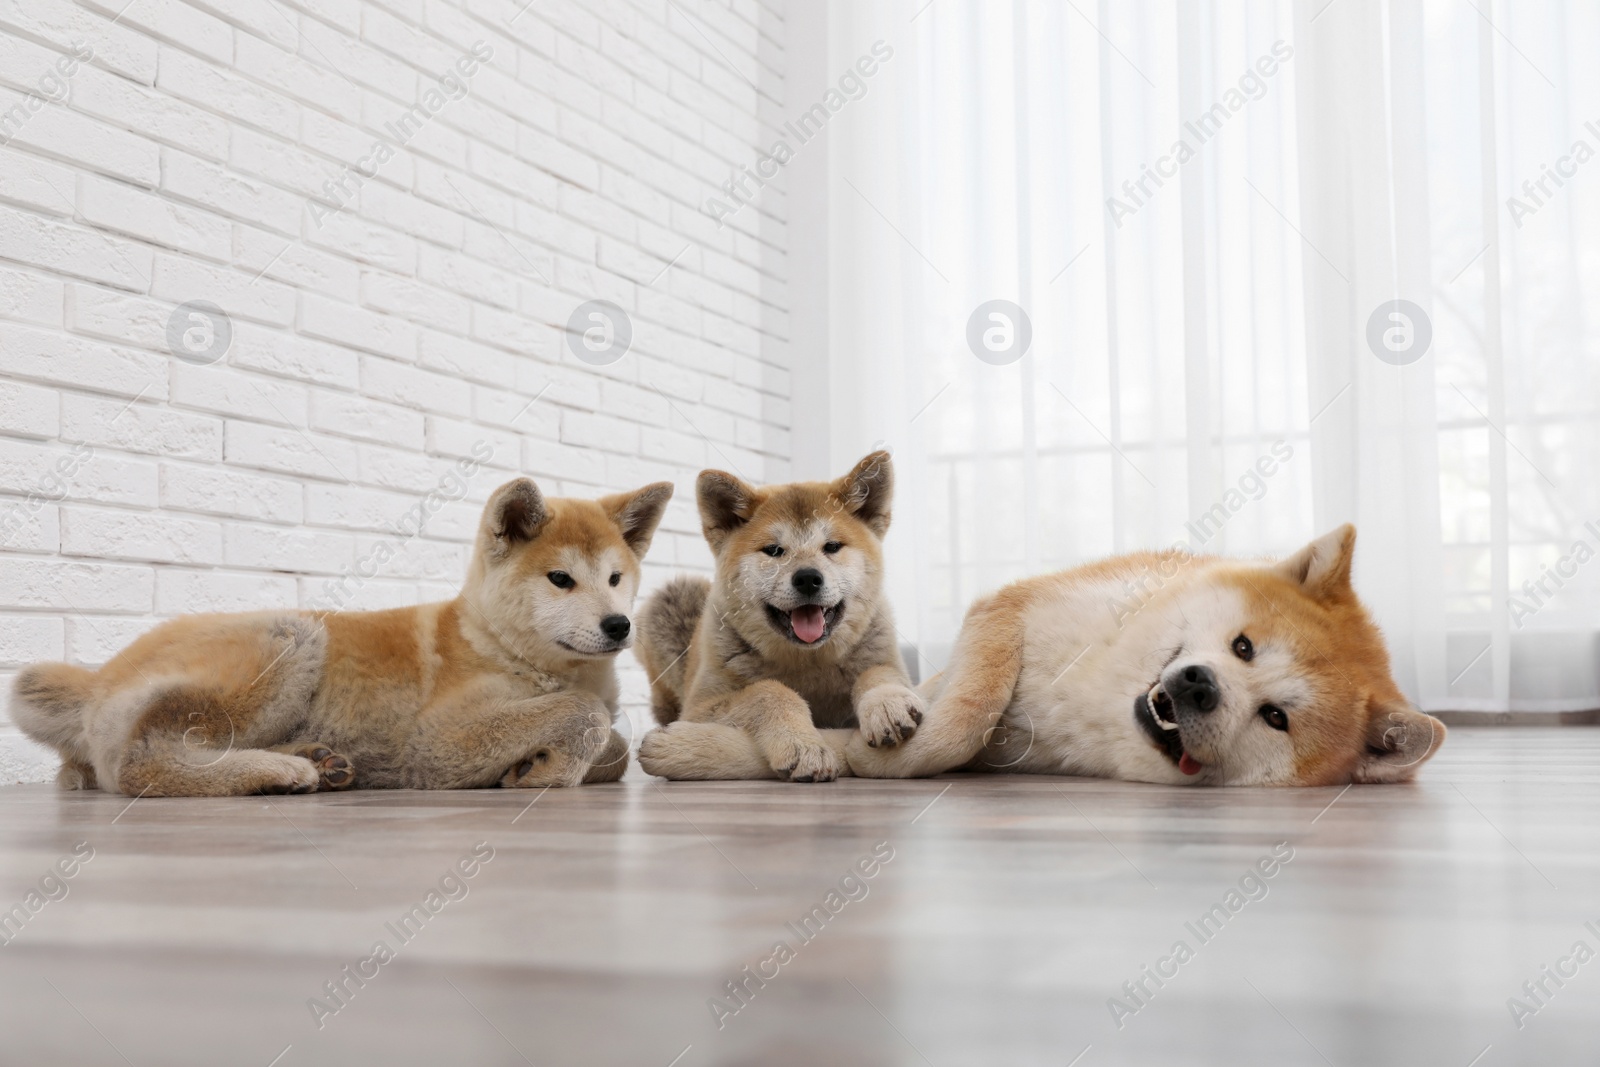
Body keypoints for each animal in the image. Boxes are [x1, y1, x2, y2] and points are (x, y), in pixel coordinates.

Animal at [7, 479, 668, 796]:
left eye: (616, 579)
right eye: (561, 580)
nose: (619, 625)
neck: (497, 644)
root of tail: (100, 677)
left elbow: (616, 743)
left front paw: (539, 762)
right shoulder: (435, 739)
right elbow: (587, 715)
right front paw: (544, 771)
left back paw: (316, 761)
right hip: (292, 636)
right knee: (137, 763)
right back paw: (277, 772)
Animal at [630, 451, 921, 783]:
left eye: (832, 546)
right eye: (773, 550)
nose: (808, 578)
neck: (808, 662)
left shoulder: (885, 663)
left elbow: (878, 673)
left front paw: (887, 703)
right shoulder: (700, 709)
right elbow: (767, 691)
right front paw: (803, 745)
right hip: (673, 601)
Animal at [636, 524, 1452, 783]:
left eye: (1276, 717)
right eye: (1243, 645)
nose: (1197, 684)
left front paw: (852, 751)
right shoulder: (1009, 607)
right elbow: (959, 717)